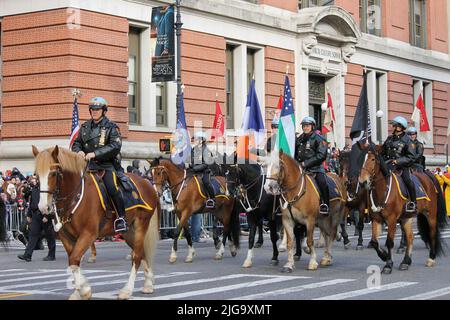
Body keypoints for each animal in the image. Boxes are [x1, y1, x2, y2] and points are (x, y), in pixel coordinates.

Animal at [32, 146, 158, 300]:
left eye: (54, 173)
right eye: (37, 175)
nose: (44, 207)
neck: (75, 196)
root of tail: (147, 182)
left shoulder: (88, 234)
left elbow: (74, 259)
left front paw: (84, 291)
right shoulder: (66, 237)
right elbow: (74, 262)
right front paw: (79, 291)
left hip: (141, 225)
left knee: (137, 256)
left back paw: (127, 290)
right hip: (128, 231)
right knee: (142, 252)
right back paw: (148, 284)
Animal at [71, 97, 126, 232]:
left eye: (98, 108)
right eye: (93, 109)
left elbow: (114, 144)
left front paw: (91, 155)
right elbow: (78, 142)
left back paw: (121, 222)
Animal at [358, 144, 446, 272]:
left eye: (373, 159)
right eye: (361, 159)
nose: (362, 182)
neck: (383, 189)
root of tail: (427, 175)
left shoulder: (392, 220)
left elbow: (389, 242)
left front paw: (388, 264)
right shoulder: (376, 219)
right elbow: (374, 242)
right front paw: (384, 256)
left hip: (431, 214)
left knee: (432, 234)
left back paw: (431, 258)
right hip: (406, 218)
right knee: (410, 237)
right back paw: (406, 262)